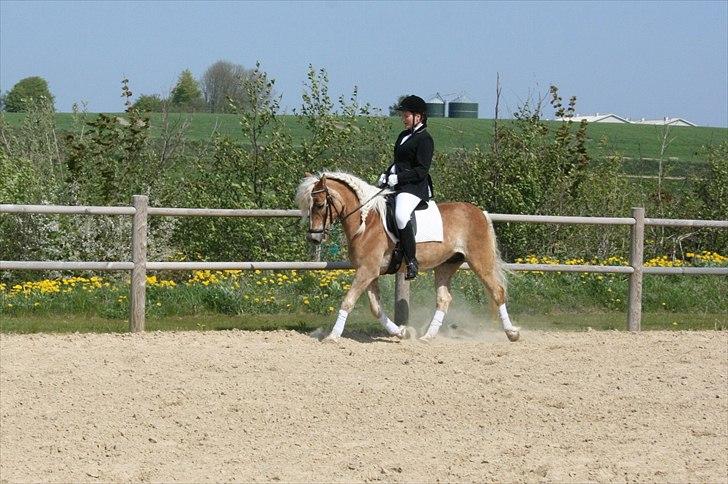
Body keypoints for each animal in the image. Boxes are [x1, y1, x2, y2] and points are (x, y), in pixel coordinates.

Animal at [294, 172, 516, 342]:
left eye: (320, 204)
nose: (313, 238)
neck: (366, 222)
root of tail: (479, 212)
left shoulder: (367, 270)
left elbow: (348, 301)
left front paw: (333, 336)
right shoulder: (369, 272)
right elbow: (375, 307)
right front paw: (400, 332)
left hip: (480, 261)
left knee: (497, 291)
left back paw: (512, 333)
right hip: (446, 265)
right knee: (444, 299)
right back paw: (427, 337)